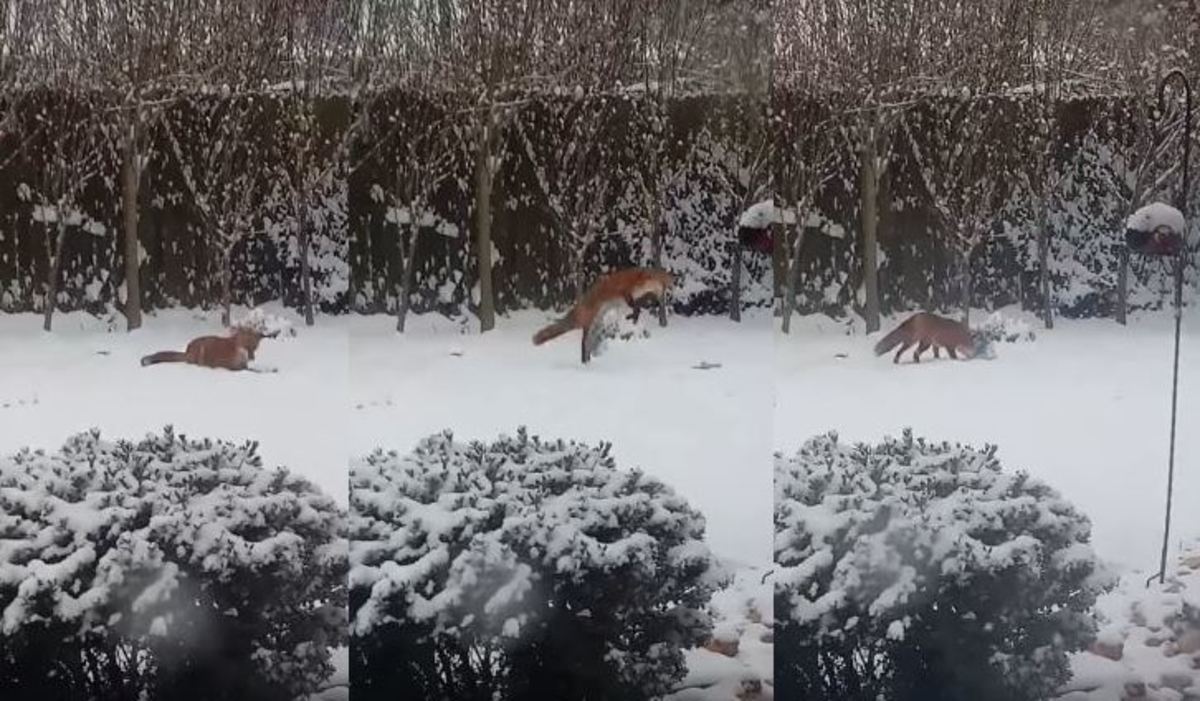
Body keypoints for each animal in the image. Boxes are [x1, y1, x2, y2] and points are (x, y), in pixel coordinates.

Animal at [140, 328, 278, 372]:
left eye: (254, 348)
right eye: (246, 347)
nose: (252, 358)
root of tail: (187, 350)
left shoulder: (244, 365)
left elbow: (262, 368)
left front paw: (273, 369)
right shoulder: (236, 368)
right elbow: (258, 371)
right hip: (202, 350)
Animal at [532, 268, 676, 364]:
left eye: (664, 288)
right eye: (662, 283)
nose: (672, 281)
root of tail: (580, 304)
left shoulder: (638, 297)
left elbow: (637, 308)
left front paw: (634, 316)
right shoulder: (625, 292)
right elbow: (634, 305)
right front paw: (634, 315)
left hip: (597, 326)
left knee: (588, 344)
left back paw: (587, 362)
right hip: (590, 324)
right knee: (584, 343)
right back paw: (584, 363)